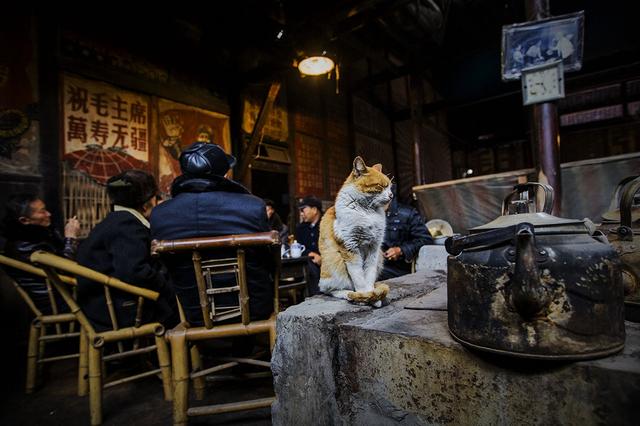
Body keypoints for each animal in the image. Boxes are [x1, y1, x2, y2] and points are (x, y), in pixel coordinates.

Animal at [318, 156, 392, 306]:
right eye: (380, 186)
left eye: (390, 187)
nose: (391, 195)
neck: (368, 212)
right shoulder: (350, 246)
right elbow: (358, 276)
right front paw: (364, 297)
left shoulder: (374, 248)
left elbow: (368, 275)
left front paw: (373, 297)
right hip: (333, 262)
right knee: (329, 290)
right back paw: (348, 294)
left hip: (380, 257)